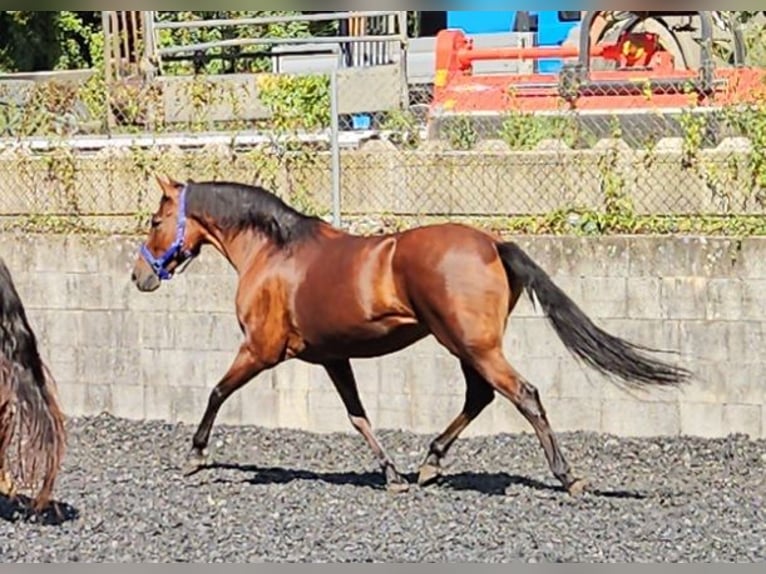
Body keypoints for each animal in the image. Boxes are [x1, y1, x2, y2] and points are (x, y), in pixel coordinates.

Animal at [132, 176, 696, 496]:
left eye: (156, 219)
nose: (140, 277)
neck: (273, 251)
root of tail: (492, 242)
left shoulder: (260, 349)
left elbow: (216, 391)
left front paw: (195, 456)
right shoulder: (333, 357)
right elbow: (357, 415)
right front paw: (390, 474)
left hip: (472, 345)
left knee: (523, 395)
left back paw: (567, 476)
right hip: (467, 345)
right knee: (480, 396)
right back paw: (430, 463)